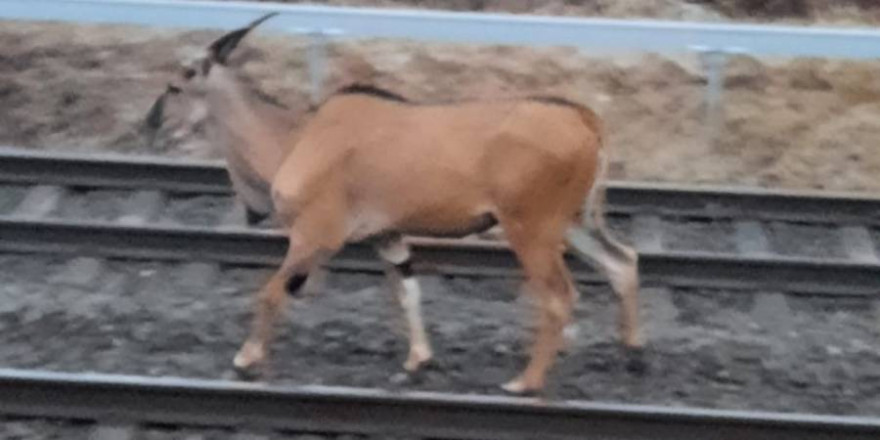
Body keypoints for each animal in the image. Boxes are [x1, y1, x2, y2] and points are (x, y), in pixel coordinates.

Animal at [143, 13, 640, 394]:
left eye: (176, 86)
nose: (149, 126)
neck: (296, 136)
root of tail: (584, 119)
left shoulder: (314, 237)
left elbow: (270, 292)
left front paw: (246, 359)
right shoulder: (388, 238)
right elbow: (408, 294)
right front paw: (418, 361)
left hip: (531, 229)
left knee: (559, 296)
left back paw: (525, 382)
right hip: (575, 222)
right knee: (622, 262)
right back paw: (633, 353)